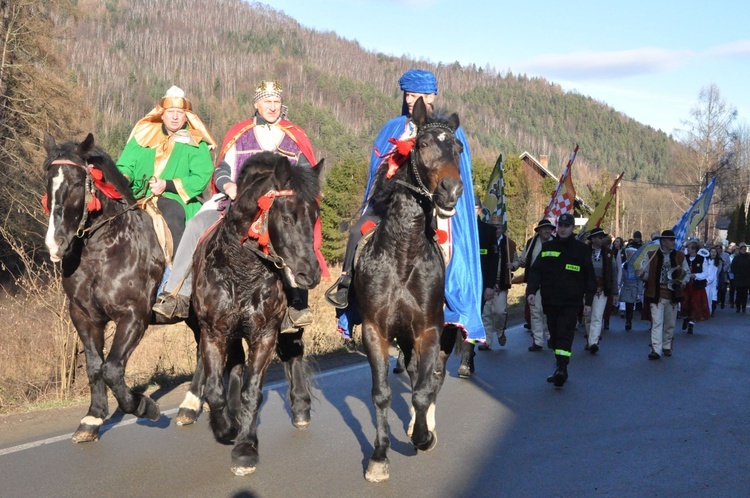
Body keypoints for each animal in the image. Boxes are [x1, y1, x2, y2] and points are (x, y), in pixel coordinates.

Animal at [42, 132, 170, 440]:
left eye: (78, 183)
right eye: (47, 182)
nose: (55, 243)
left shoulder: (134, 316)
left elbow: (112, 369)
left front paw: (144, 406)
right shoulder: (84, 316)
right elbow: (94, 366)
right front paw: (93, 416)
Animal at [192, 151, 322, 474]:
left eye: (314, 216)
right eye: (287, 216)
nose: (310, 273)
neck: (242, 270)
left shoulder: (264, 334)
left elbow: (253, 390)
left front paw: (245, 448)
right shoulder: (213, 332)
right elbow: (215, 388)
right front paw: (226, 427)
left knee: (293, 349)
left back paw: (301, 407)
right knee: (236, 367)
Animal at [352, 98, 464, 482]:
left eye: (459, 149)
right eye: (423, 144)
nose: (451, 190)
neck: (403, 255)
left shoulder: (429, 330)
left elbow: (422, 391)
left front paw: (423, 437)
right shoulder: (375, 330)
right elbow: (382, 393)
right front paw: (379, 456)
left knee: (432, 379)